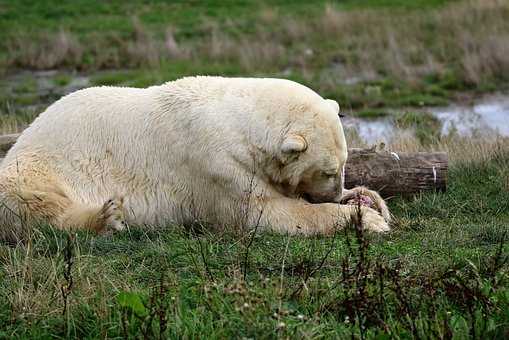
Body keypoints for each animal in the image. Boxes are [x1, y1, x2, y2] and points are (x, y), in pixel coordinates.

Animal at [0, 77, 388, 242]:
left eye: (344, 165)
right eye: (328, 171)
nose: (333, 193)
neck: (237, 119)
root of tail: (23, 139)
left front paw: (368, 199)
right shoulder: (213, 161)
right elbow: (265, 214)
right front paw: (367, 219)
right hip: (35, 168)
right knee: (36, 203)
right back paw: (107, 217)